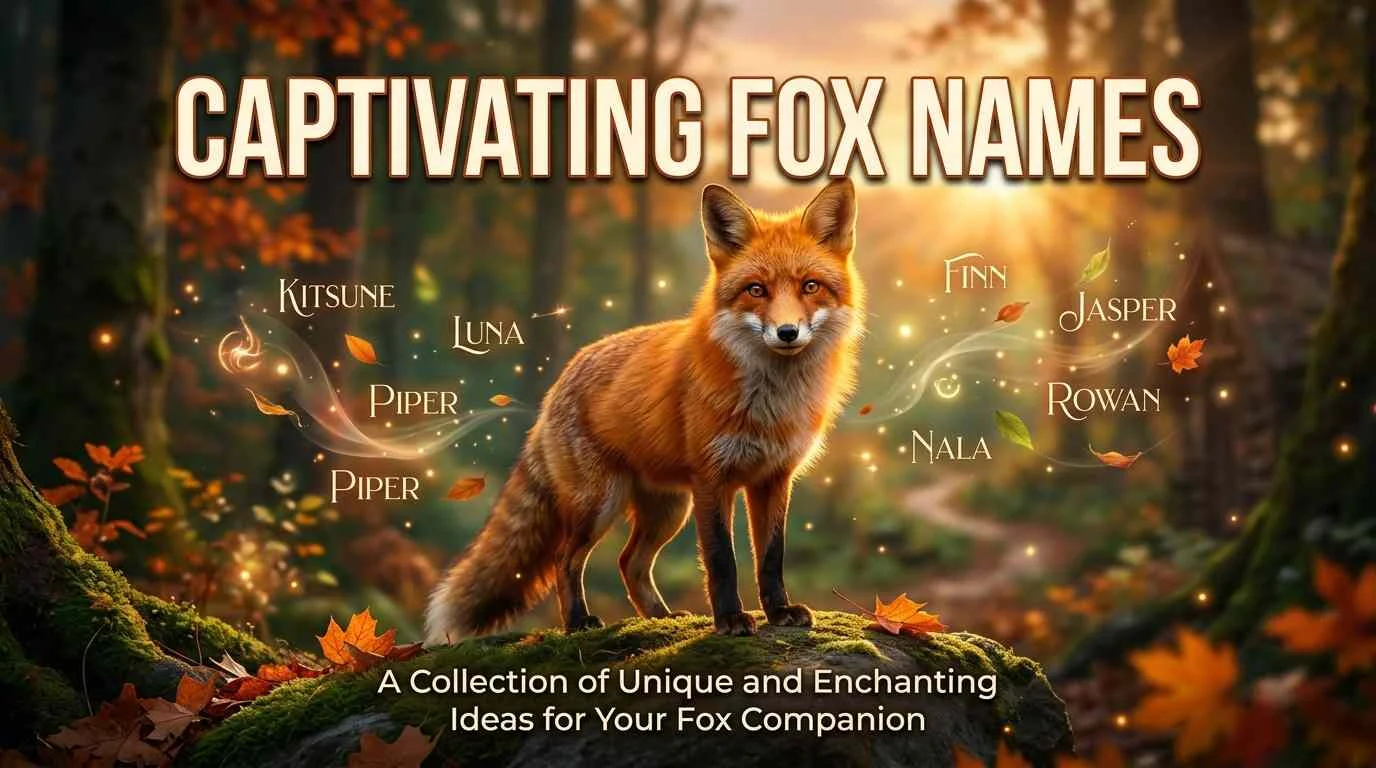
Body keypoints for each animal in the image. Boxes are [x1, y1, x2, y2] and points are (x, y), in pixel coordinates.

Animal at [426, 178, 864, 641]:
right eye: (756, 290)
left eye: (810, 286)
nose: (787, 332)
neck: (771, 402)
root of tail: (558, 383)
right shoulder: (713, 479)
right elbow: (721, 560)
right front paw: (729, 619)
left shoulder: (774, 479)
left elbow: (771, 557)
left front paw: (779, 611)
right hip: (601, 504)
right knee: (567, 558)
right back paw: (579, 621)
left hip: (667, 509)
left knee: (629, 562)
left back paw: (662, 617)